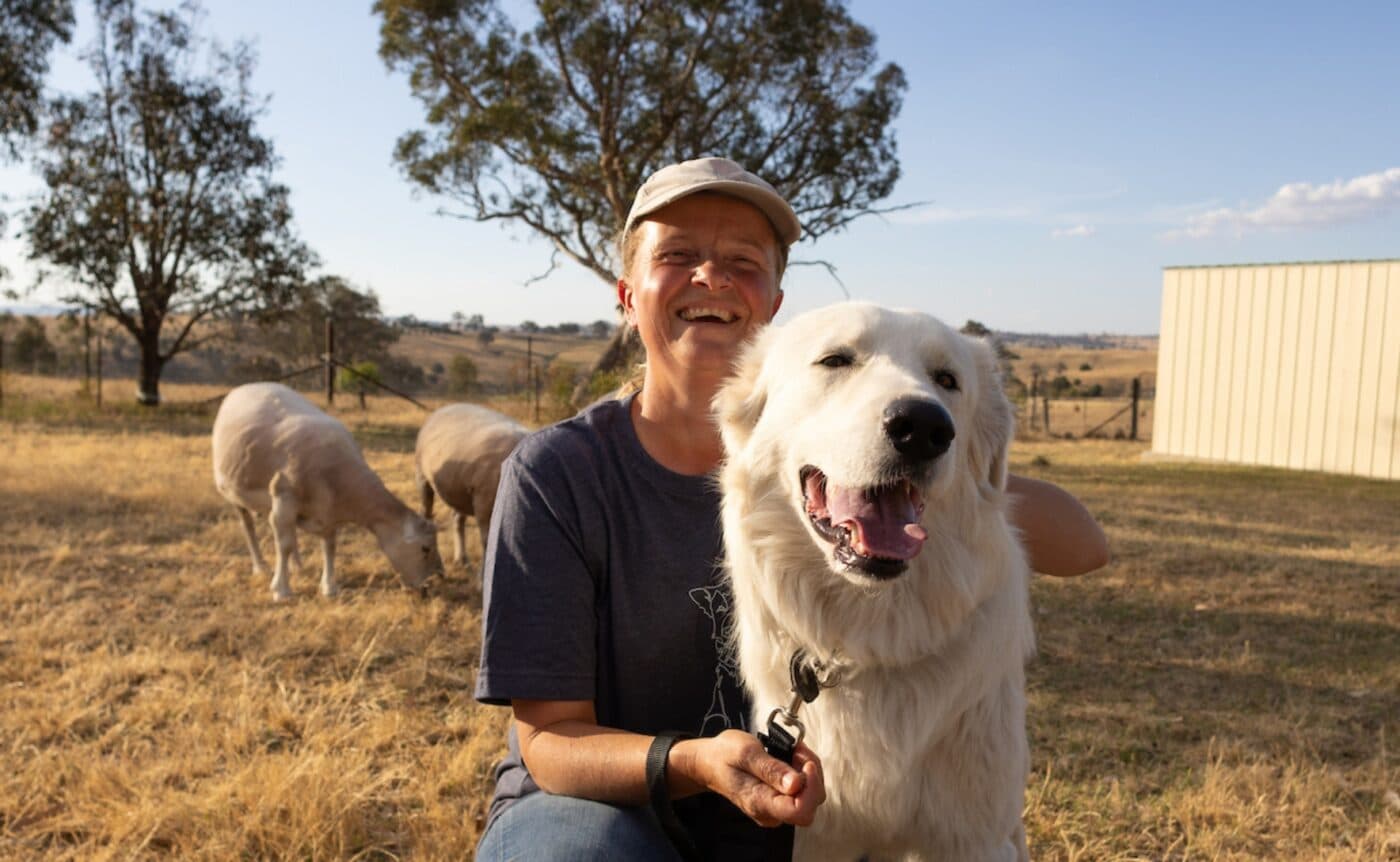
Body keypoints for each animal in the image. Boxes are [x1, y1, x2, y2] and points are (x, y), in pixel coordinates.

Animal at [211, 383, 442, 598]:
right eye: (425, 548)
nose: (430, 586)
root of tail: (247, 386)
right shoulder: (285, 497)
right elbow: (284, 545)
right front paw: (281, 590)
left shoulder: (329, 510)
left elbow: (329, 546)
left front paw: (329, 588)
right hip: (234, 492)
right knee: (248, 526)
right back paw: (260, 567)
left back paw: (297, 565)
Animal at [414, 403, 529, 568]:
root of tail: (444, 408)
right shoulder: (484, 503)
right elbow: (488, 544)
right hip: (423, 476)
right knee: (426, 513)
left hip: (459, 489)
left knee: (457, 519)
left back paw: (461, 559)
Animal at [716, 303, 1036, 862]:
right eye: (835, 360)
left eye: (947, 380)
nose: (924, 427)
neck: (870, 637)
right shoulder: (813, 835)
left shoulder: (972, 838)